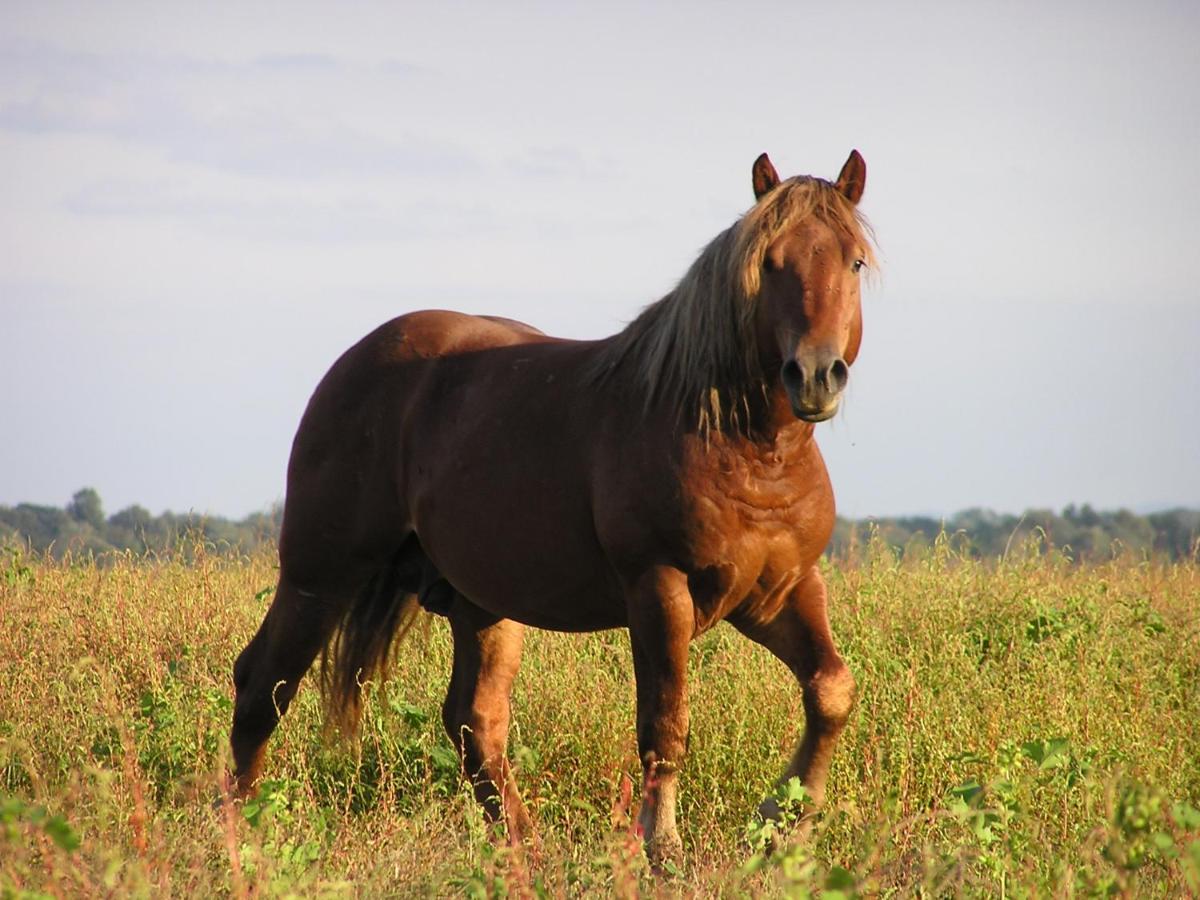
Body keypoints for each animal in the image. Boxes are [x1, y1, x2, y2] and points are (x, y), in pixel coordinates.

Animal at [229, 150, 878, 868]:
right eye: (769, 263)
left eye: (852, 262)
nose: (814, 375)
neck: (745, 447)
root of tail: (356, 363)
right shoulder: (660, 589)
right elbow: (666, 723)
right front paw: (663, 847)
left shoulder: (780, 590)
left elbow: (831, 691)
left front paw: (782, 826)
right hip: (320, 575)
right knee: (262, 686)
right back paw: (243, 837)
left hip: (480, 603)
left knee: (474, 723)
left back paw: (525, 849)